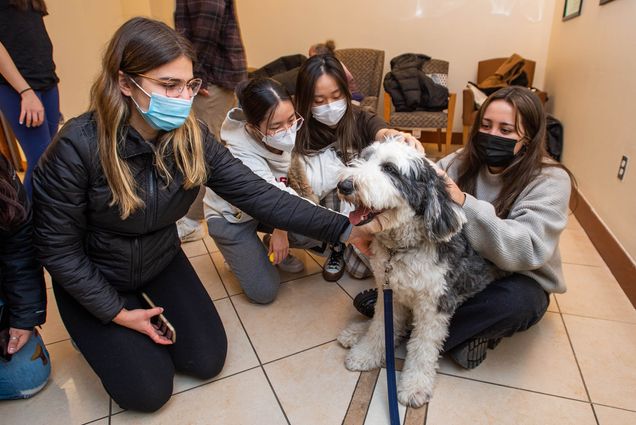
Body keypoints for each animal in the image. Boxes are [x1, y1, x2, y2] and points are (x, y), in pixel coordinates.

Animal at [336, 137, 504, 406]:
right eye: (365, 158)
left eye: (390, 169)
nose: (344, 185)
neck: (401, 249)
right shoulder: (389, 293)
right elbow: (380, 327)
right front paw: (365, 353)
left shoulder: (434, 305)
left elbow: (423, 346)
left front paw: (414, 386)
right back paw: (356, 332)